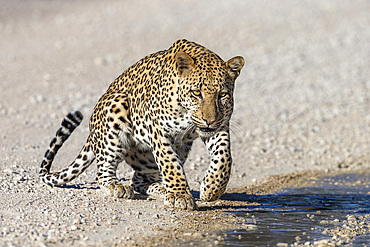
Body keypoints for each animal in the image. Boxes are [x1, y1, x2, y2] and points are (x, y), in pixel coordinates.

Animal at [39, 39, 243, 210]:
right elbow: (170, 164)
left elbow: (224, 158)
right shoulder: (160, 132)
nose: (209, 120)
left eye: (222, 95)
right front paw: (180, 195)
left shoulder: (220, 126)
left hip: (163, 153)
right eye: (196, 93)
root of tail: (92, 131)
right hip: (117, 107)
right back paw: (116, 186)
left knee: (138, 180)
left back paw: (161, 189)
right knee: (104, 172)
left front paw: (210, 189)